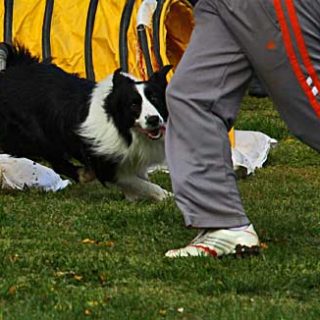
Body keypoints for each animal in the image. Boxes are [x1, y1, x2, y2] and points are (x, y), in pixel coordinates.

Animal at [0, 44, 172, 201]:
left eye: (155, 99)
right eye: (134, 105)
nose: (154, 119)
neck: (121, 127)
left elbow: (141, 178)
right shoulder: (105, 164)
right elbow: (140, 183)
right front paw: (166, 196)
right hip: (35, 136)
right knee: (54, 159)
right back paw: (83, 174)